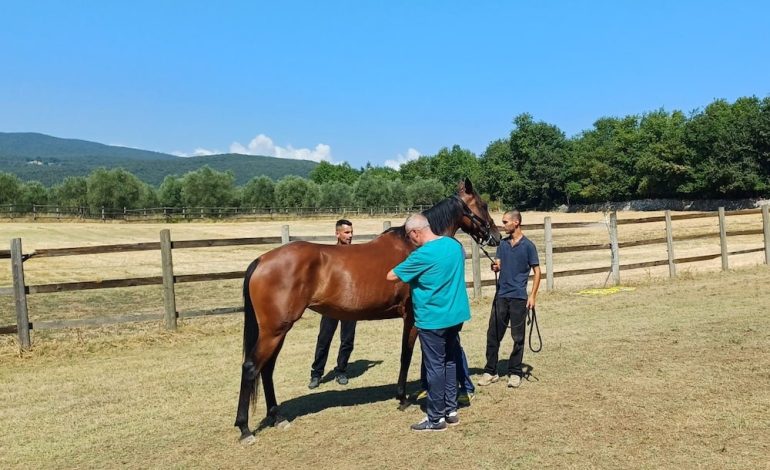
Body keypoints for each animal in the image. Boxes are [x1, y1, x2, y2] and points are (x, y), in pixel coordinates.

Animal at [234, 178, 498, 442]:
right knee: (251, 367)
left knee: (267, 369)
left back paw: (277, 417)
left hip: (277, 331)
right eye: (483, 205)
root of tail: (261, 260)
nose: (495, 236)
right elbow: (407, 354)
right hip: (274, 330)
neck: (414, 245)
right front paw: (402, 397)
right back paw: (245, 428)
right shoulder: (412, 317)